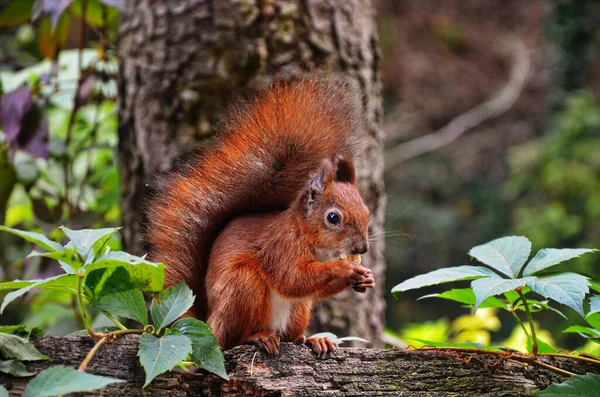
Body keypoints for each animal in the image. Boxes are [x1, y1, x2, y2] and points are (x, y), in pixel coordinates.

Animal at [145, 77, 372, 356]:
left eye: (367, 213)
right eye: (333, 218)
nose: (362, 248)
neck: (309, 238)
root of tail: (209, 324)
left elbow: (312, 288)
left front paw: (365, 278)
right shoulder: (279, 247)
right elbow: (292, 279)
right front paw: (345, 268)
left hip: (298, 309)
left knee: (292, 332)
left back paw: (311, 339)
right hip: (243, 287)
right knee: (232, 340)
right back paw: (258, 337)